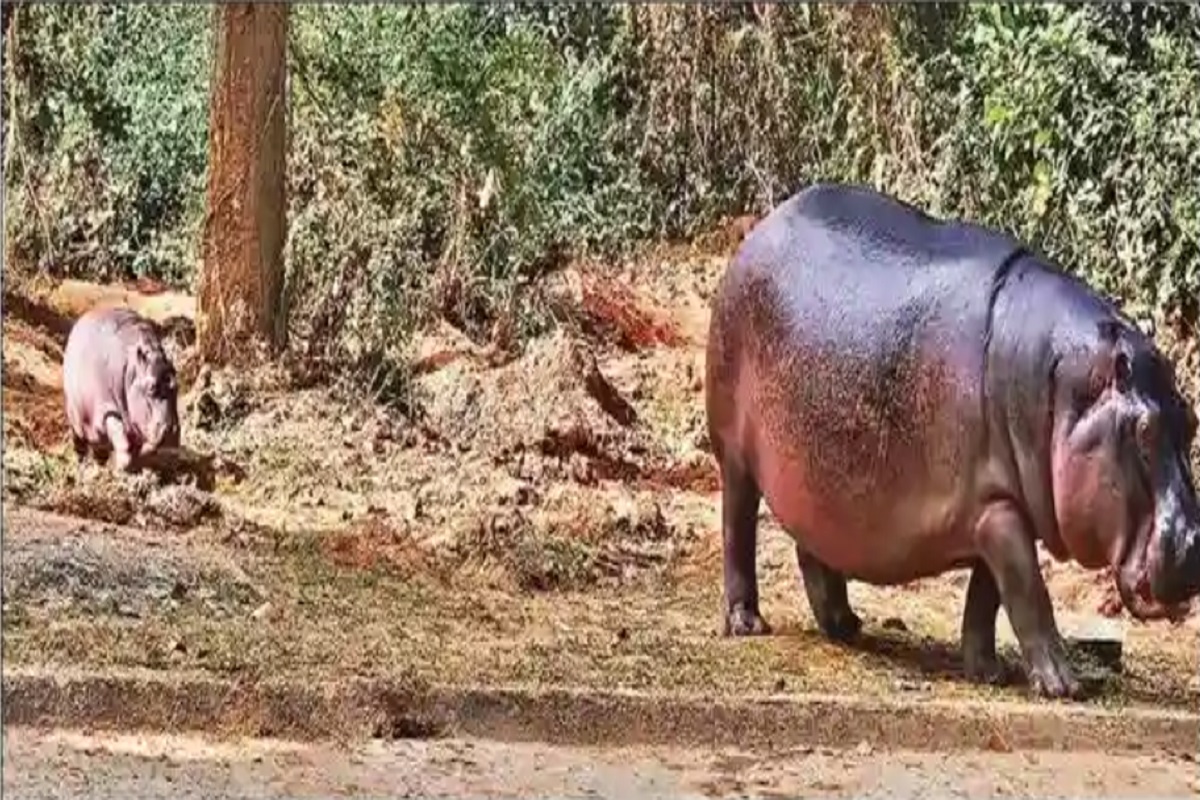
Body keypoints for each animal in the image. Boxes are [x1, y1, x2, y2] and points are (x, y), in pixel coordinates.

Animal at [63, 306, 181, 473]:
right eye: (151, 388)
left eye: (177, 386)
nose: (172, 430)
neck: (133, 370)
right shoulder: (107, 409)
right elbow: (121, 438)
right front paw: (121, 468)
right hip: (74, 416)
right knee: (79, 442)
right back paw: (81, 465)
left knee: (99, 449)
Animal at [705, 182, 1200, 698]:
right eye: (1142, 432)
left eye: (1192, 419)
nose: (1194, 545)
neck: (1061, 385)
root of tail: (762, 228)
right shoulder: (999, 513)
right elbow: (1029, 592)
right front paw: (1064, 686)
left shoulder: (998, 504)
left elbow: (989, 597)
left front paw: (988, 672)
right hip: (735, 454)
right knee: (737, 526)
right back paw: (747, 624)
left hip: (818, 469)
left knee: (814, 545)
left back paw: (847, 626)